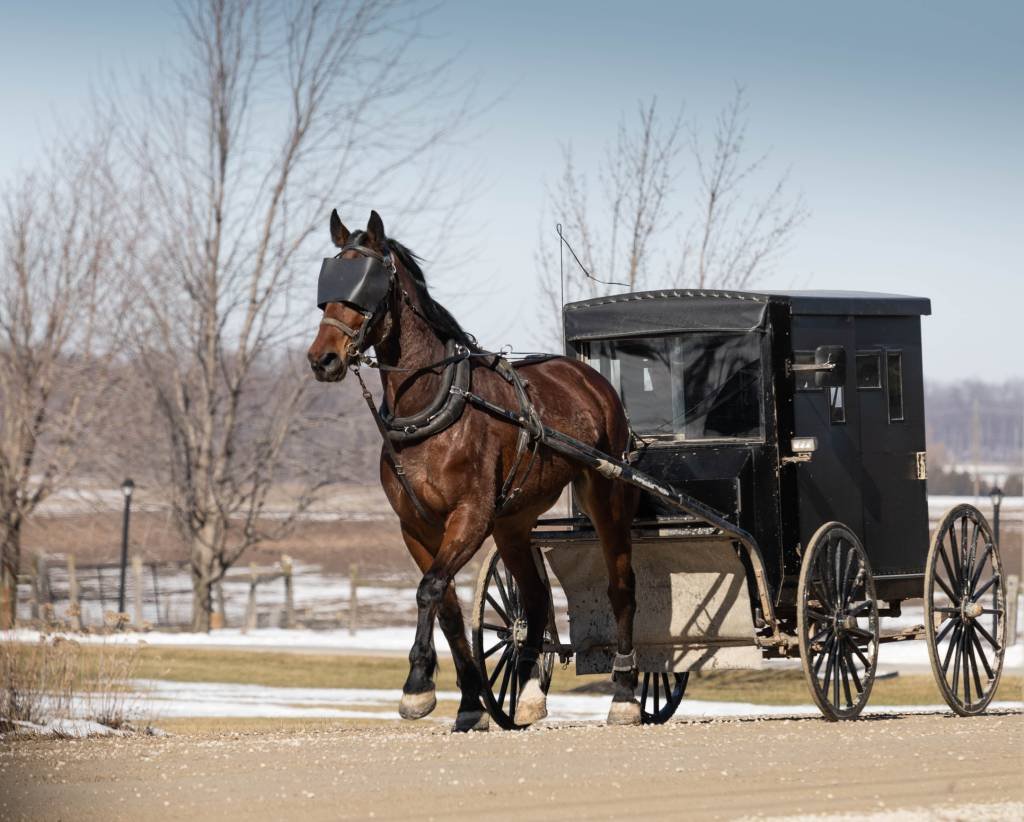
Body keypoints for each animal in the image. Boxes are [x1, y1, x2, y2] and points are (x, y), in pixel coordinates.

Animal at [303, 211, 638, 732]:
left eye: (368, 288)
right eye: (328, 285)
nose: (324, 358)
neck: (433, 406)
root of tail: (589, 377)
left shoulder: (471, 516)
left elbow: (429, 590)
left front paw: (417, 686)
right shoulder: (416, 527)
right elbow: (447, 608)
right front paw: (468, 704)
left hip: (605, 493)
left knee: (620, 584)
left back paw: (624, 694)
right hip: (514, 523)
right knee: (534, 598)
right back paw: (528, 692)